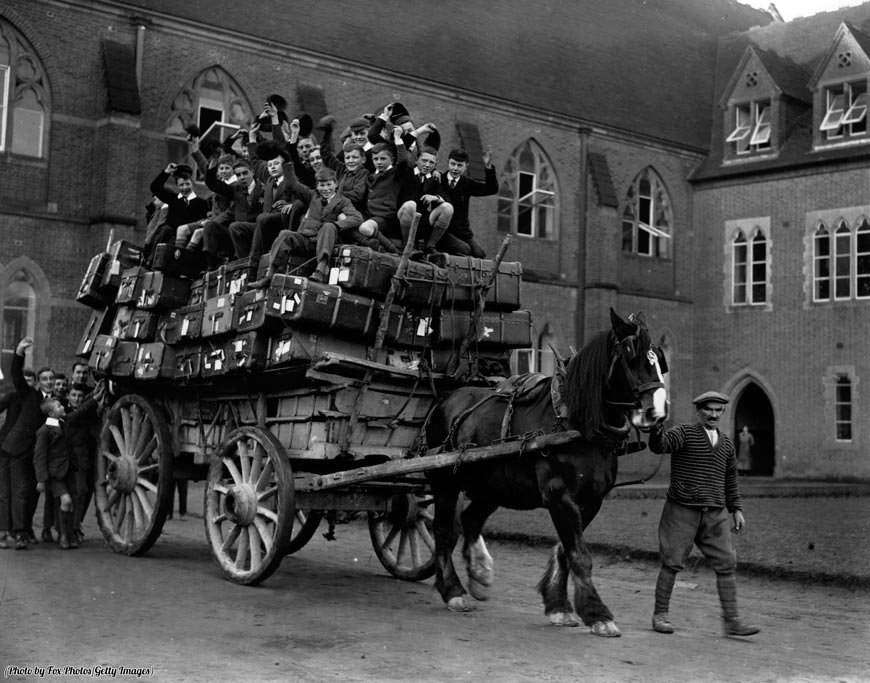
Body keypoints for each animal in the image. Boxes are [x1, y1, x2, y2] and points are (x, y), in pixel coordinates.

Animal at [426, 310, 672, 636]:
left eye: (658, 359)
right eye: (631, 357)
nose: (656, 412)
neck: (576, 423)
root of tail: (445, 400)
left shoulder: (591, 501)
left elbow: (566, 551)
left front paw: (558, 606)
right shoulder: (559, 496)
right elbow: (579, 554)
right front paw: (597, 613)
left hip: (494, 485)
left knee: (470, 518)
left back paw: (479, 573)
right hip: (445, 484)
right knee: (443, 529)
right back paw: (453, 590)